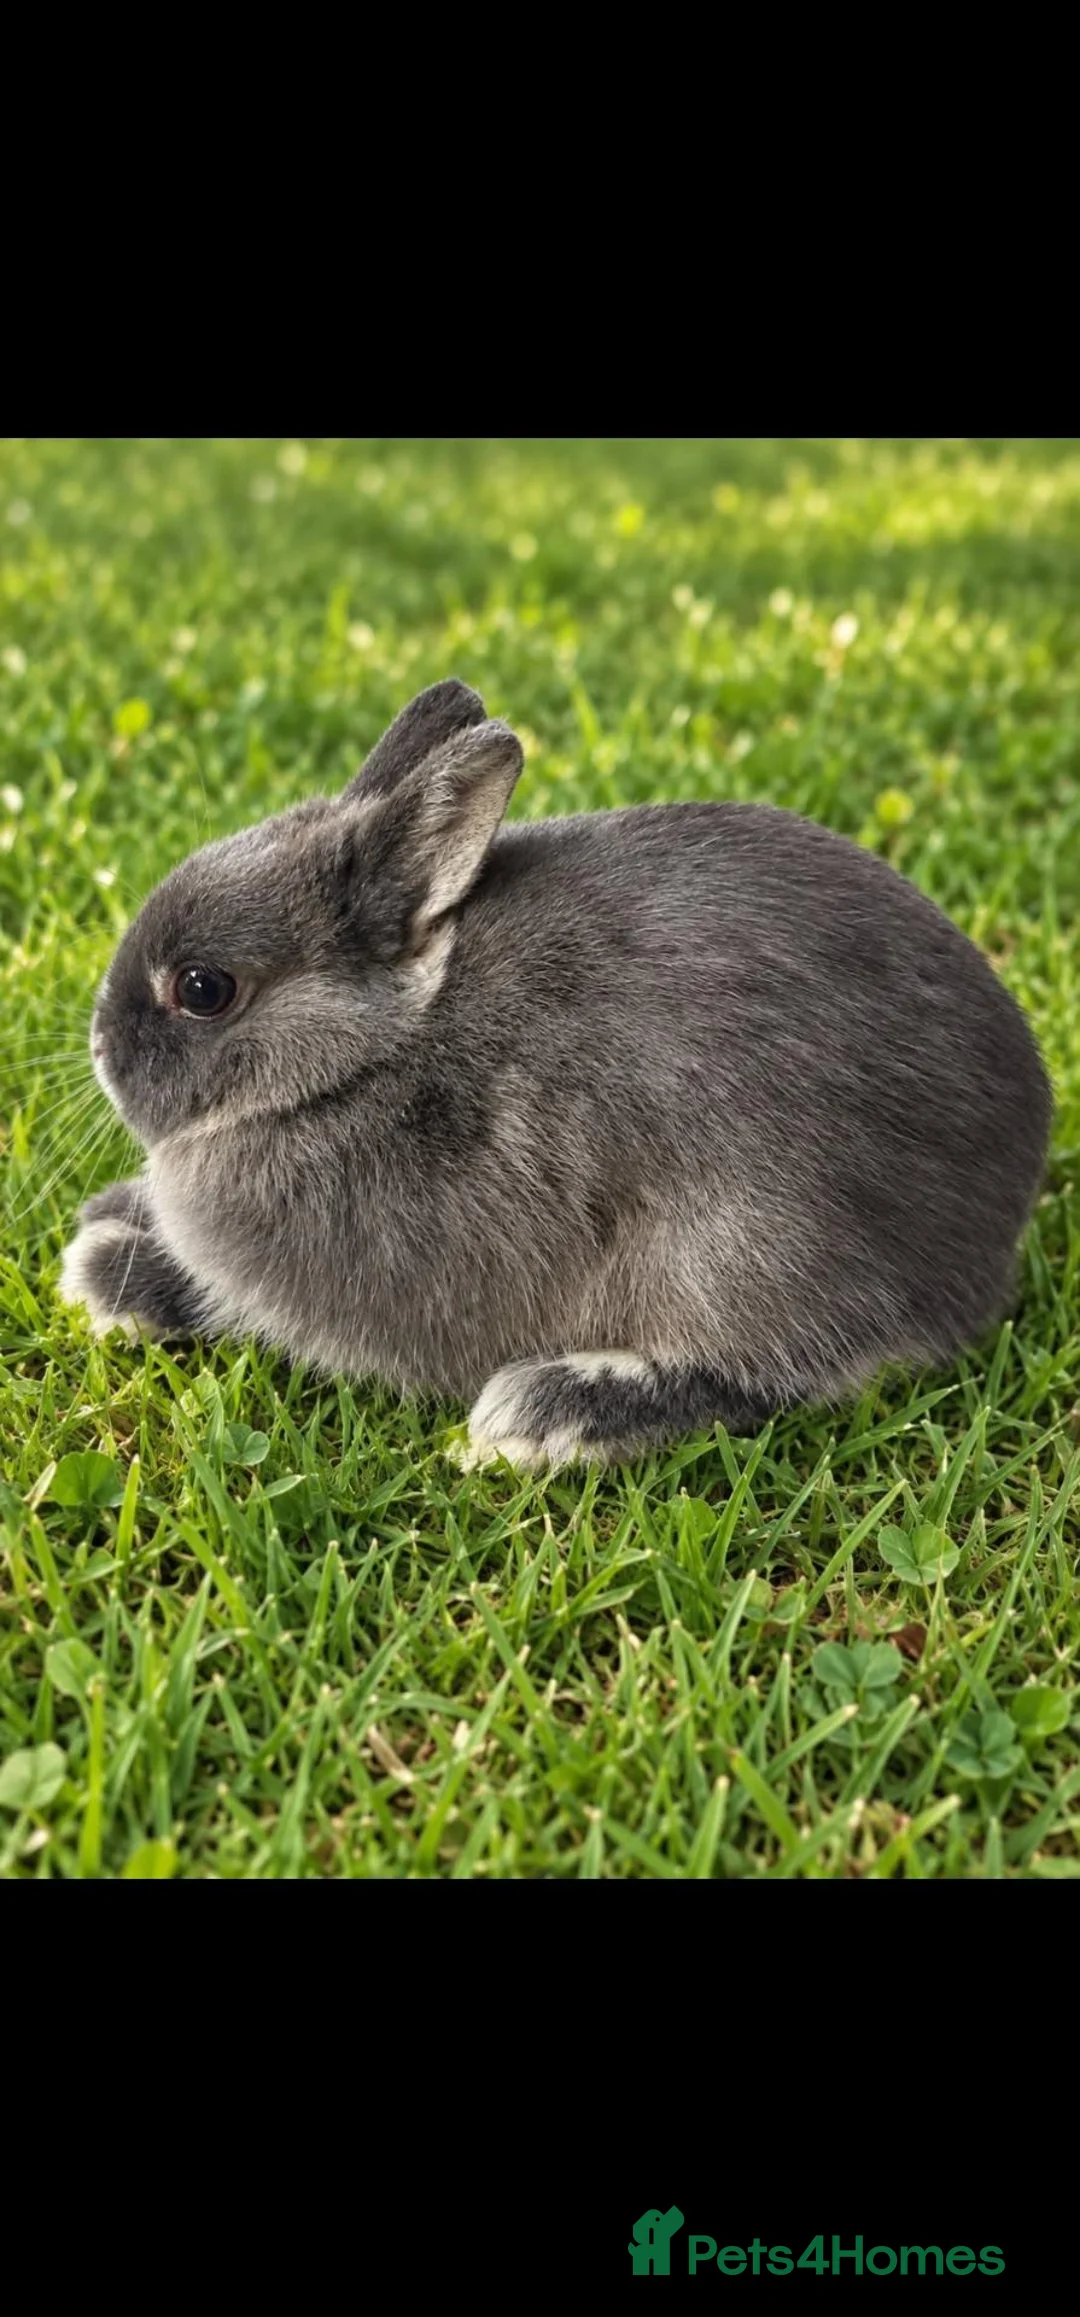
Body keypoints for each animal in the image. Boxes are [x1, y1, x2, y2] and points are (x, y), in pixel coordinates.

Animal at [59, 677, 1053, 1469]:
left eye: (204, 989)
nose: (102, 1051)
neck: (371, 1055)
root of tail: (992, 1232)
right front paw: (109, 1223)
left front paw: (108, 1268)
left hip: (741, 1246)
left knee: (770, 1372)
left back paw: (548, 1412)